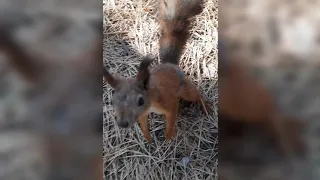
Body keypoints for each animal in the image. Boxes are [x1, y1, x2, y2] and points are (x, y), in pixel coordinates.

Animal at [103, 0, 208, 142]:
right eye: (112, 101)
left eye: (140, 101)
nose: (123, 124)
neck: (151, 102)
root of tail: (170, 64)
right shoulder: (141, 114)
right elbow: (143, 124)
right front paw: (147, 138)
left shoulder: (169, 102)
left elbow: (171, 118)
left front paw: (168, 136)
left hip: (186, 89)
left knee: (196, 95)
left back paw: (205, 106)